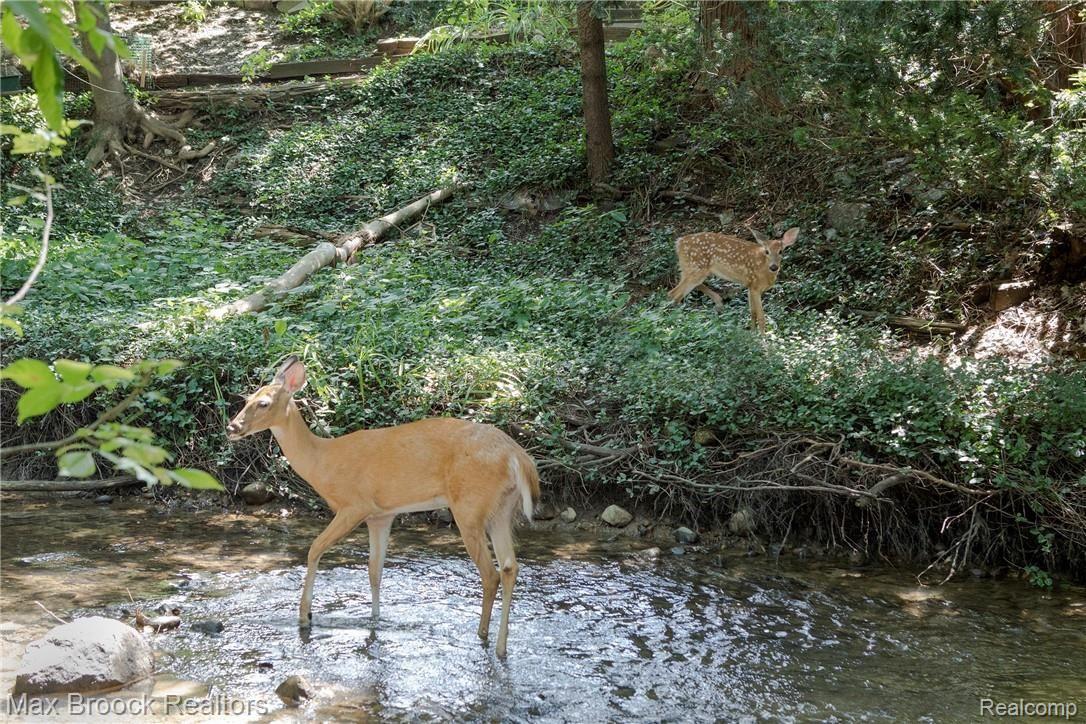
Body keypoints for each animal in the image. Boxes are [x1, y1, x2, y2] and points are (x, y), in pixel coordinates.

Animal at [226, 356, 540, 658]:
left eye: (264, 403)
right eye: (248, 398)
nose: (232, 427)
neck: (322, 462)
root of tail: (519, 457)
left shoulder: (354, 504)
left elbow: (314, 548)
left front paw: (305, 615)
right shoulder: (381, 515)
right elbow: (374, 569)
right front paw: (375, 619)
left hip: (470, 505)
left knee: (491, 573)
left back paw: (483, 635)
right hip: (501, 508)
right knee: (510, 566)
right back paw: (501, 645)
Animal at [667, 227, 800, 333]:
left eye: (781, 251)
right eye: (767, 251)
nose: (774, 267)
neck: (764, 270)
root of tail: (679, 243)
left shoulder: (749, 286)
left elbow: (752, 313)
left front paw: (752, 334)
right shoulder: (755, 286)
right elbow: (761, 317)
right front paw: (763, 341)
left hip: (691, 268)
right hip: (696, 267)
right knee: (673, 293)